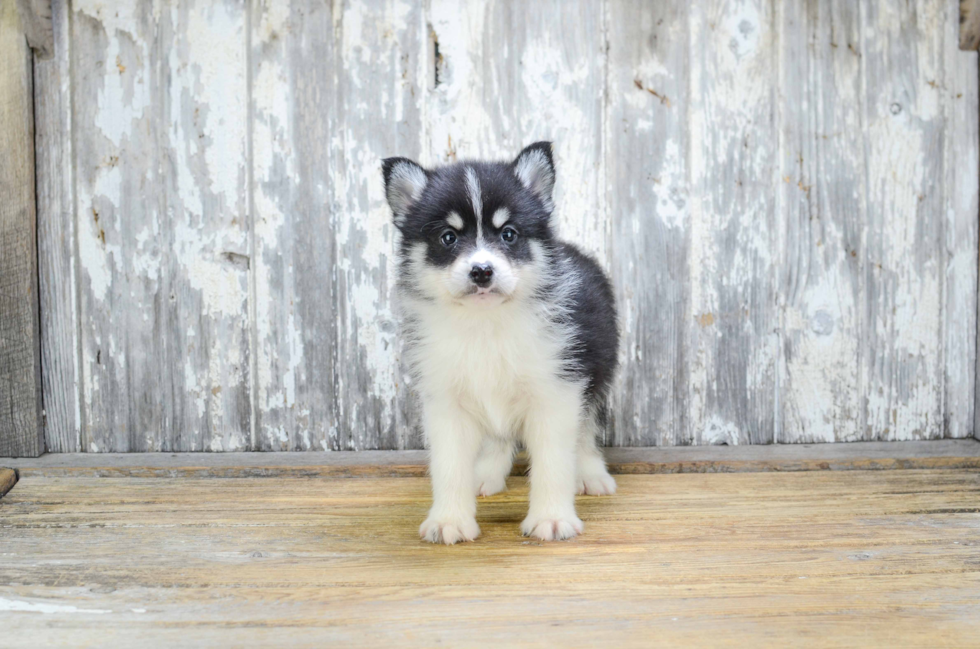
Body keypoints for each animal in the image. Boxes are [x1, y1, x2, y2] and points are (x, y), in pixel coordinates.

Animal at [378, 142, 616, 540]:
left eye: (508, 234)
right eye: (448, 237)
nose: (481, 271)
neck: (485, 324)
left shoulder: (556, 391)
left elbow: (553, 462)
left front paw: (552, 518)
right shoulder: (447, 401)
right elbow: (448, 466)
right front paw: (449, 520)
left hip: (597, 373)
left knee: (585, 432)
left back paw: (591, 474)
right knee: (499, 438)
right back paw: (486, 474)